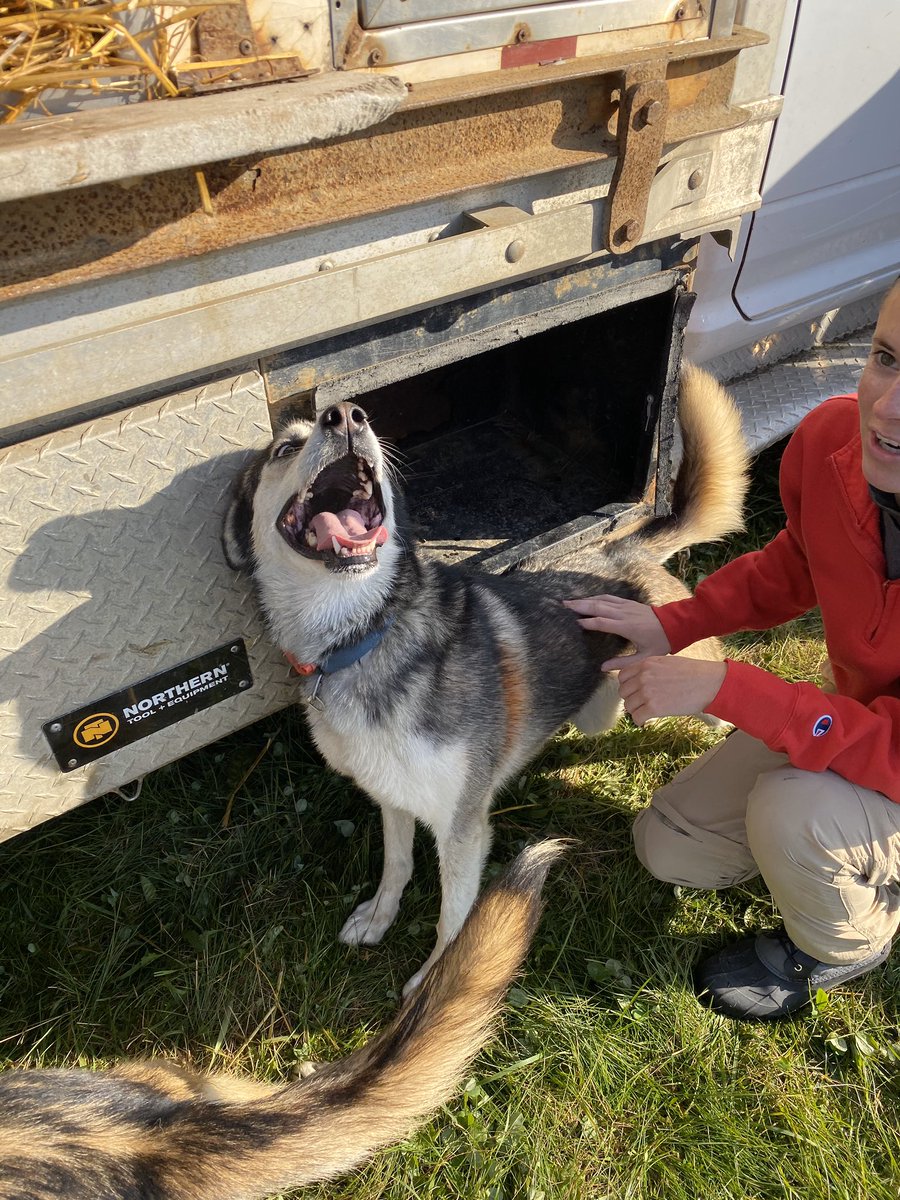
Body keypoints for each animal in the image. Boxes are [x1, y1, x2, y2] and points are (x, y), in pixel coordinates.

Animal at [222, 364, 748, 993]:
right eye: (285, 447)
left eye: (345, 421)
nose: (347, 415)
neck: (363, 636)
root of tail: (623, 549)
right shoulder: (391, 793)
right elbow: (397, 862)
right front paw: (378, 918)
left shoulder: (463, 826)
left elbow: (454, 916)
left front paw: (437, 984)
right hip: (599, 712)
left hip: (694, 678)